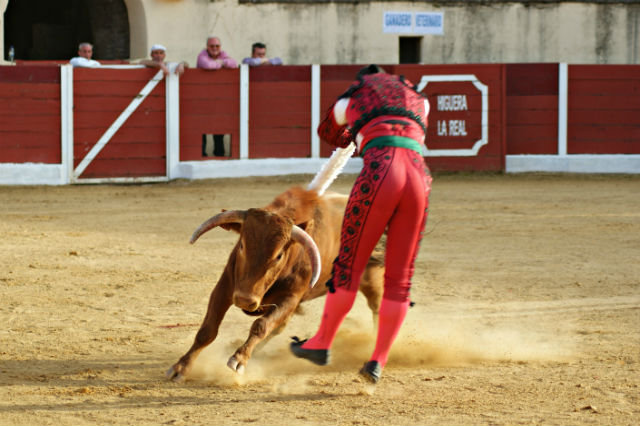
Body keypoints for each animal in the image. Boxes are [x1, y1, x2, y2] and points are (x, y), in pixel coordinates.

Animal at [166, 185, 384, 382]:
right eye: (242, 245)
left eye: (279, 255)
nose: (244, 300)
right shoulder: (225, 286)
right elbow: (208, 330)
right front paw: (180, 367)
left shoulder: (290, 298)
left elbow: (261, 325)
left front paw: (239, 359)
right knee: (279, 327)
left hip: (371, 278)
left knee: (377, 307)